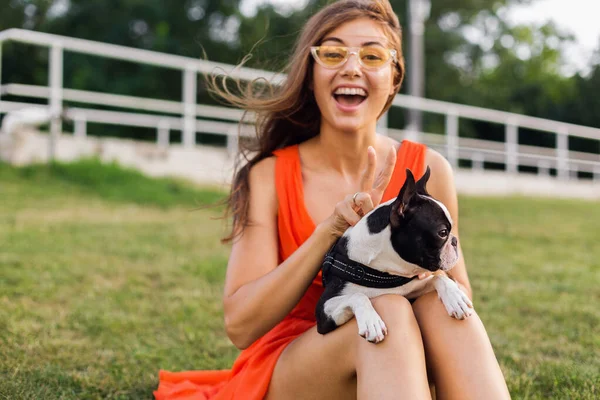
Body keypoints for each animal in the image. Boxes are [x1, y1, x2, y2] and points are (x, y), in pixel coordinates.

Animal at [316, 167, 476, 342]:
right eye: (442, 233)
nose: (455, 241)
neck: (383, 270)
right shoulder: (323, 310)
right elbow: (357, 296)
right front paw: (371, 322)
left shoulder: (411, 288)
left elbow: (439, 277)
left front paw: (455, 297)